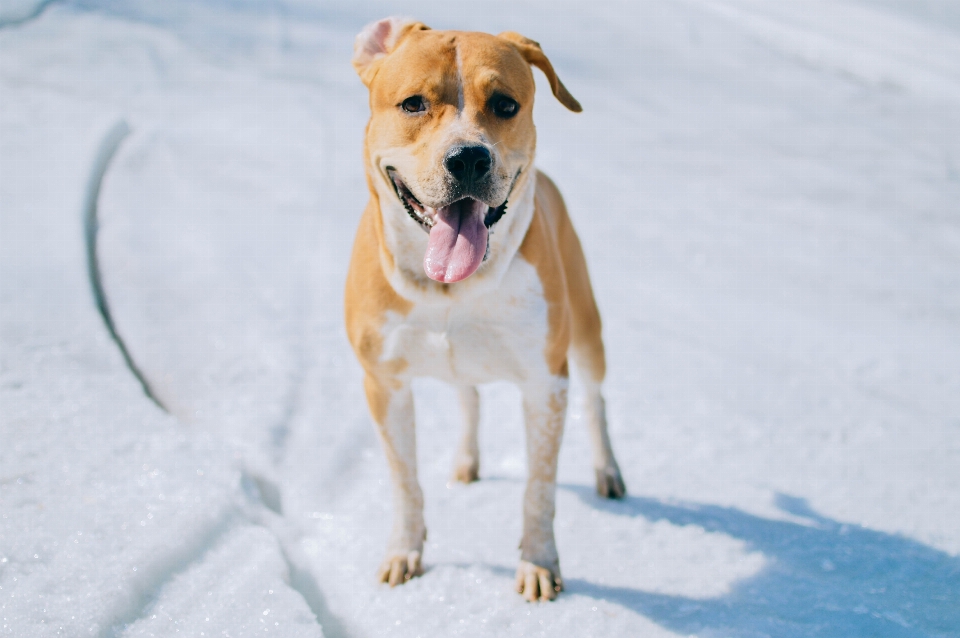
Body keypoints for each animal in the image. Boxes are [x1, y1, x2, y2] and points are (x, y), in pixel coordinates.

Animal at [348, 16, 628, 604]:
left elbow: (539, 487)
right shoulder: (383, 382)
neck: (451, 290)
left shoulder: (546, 384)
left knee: (596, 401)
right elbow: (404, 480)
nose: (468, 157)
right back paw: (466, 461)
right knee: (468, 397)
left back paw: (608, 472)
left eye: (504, 104)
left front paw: (539, 563)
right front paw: (404, 552)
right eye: (412, 103)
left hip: (587, 331)